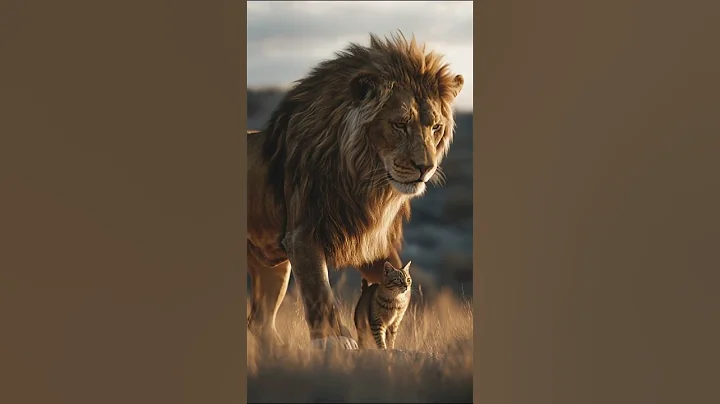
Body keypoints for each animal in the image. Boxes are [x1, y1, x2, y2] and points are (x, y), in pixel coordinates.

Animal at [247, 32, 464, 349]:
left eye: (435, 127)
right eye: (400, 124)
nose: (426, 167)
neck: (364, 181)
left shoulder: (371, 239)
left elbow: (394, 275)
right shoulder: (302, 233)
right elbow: (319, 291)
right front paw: (335, 339)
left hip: (271, 264)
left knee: (259, 322)